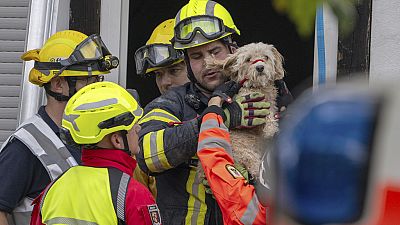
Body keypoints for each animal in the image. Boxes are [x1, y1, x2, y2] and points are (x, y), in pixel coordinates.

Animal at [205, 42, 286, 179]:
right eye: (248, 59)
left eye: (266, 57)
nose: (260, 67)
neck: (257, 87)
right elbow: (268, 115)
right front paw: (270, 130)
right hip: (249, 156)